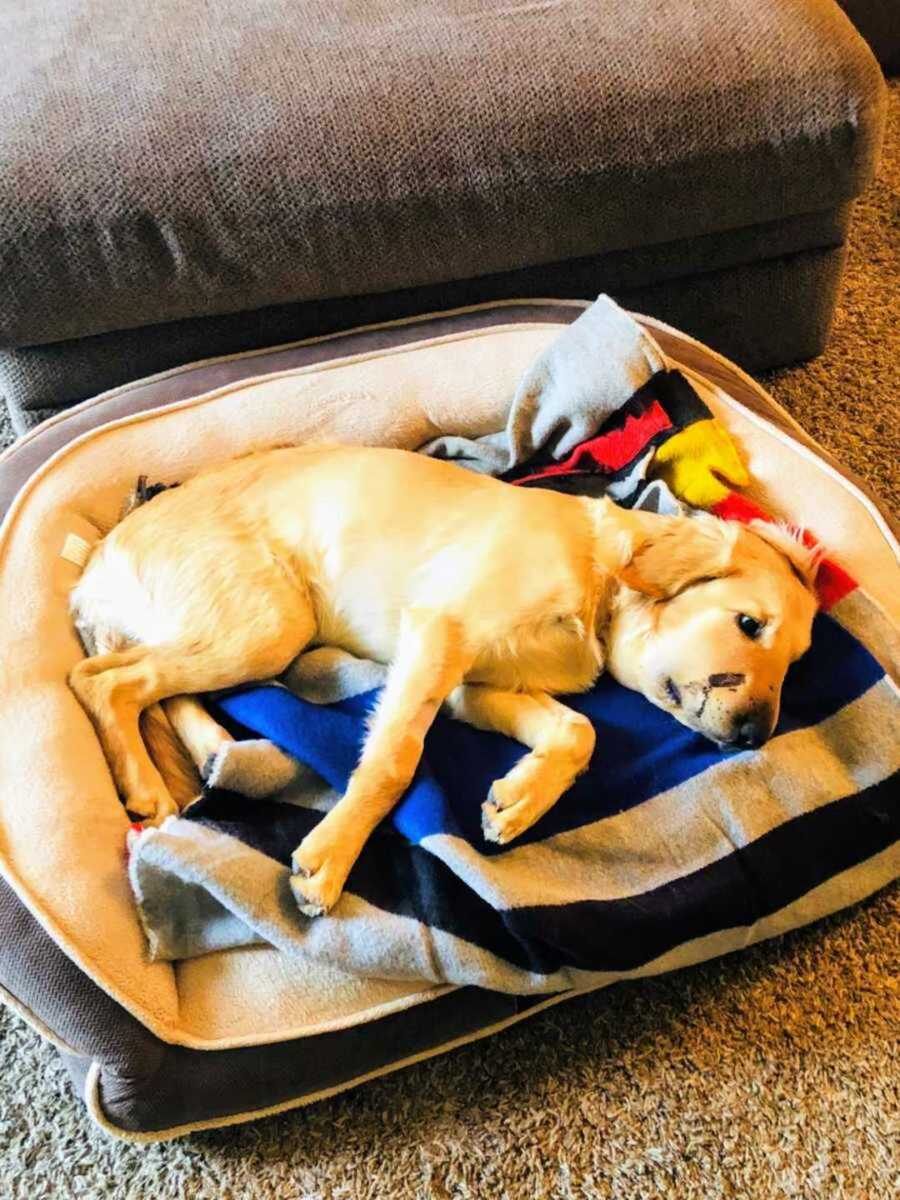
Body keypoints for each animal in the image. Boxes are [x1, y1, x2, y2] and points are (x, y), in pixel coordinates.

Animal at [66, 446, 820, 912]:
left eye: (797, 661)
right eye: (749, 624)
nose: (755, 737)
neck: (597, 580)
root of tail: (98, 558)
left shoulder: (472, 687)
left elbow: (579, 731)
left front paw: (519, 800)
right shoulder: (440, 635)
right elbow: (394, 760)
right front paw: (332, 856)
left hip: (239, 630)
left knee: (153, 686)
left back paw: (211, 753)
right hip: (270, 620)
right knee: (102, 680)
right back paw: (146, 784)